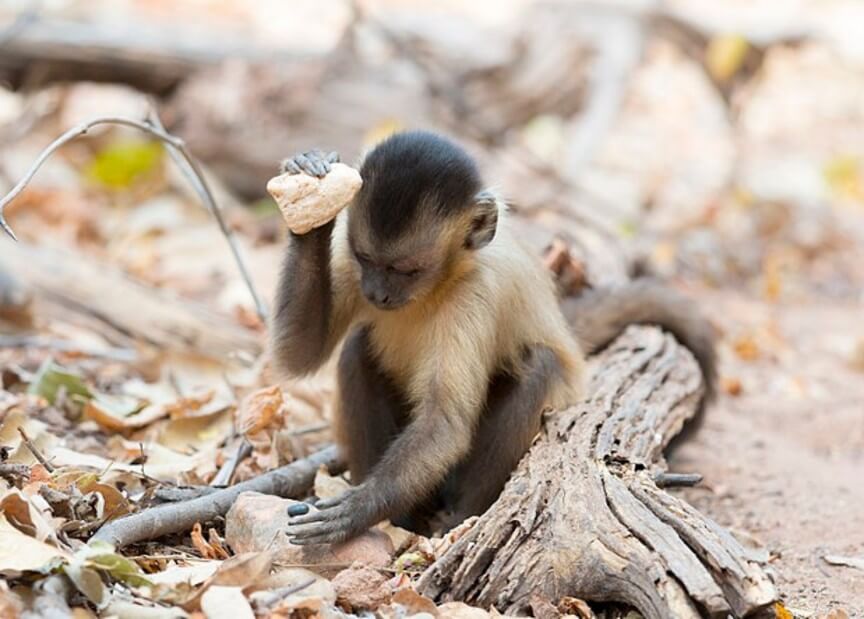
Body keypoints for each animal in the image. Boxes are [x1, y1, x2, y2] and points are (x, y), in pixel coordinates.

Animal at [270, 131, 716, 545]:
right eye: (367, 260)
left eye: (406, 270)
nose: (376, 294)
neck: (441, 283)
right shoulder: (350, 267)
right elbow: (300, 354)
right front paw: (311, 195)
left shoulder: (475, 296)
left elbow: (445, 424)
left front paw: (358, 509)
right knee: (358, 349)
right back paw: (403, 519)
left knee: (538, 364)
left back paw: (459, 516)